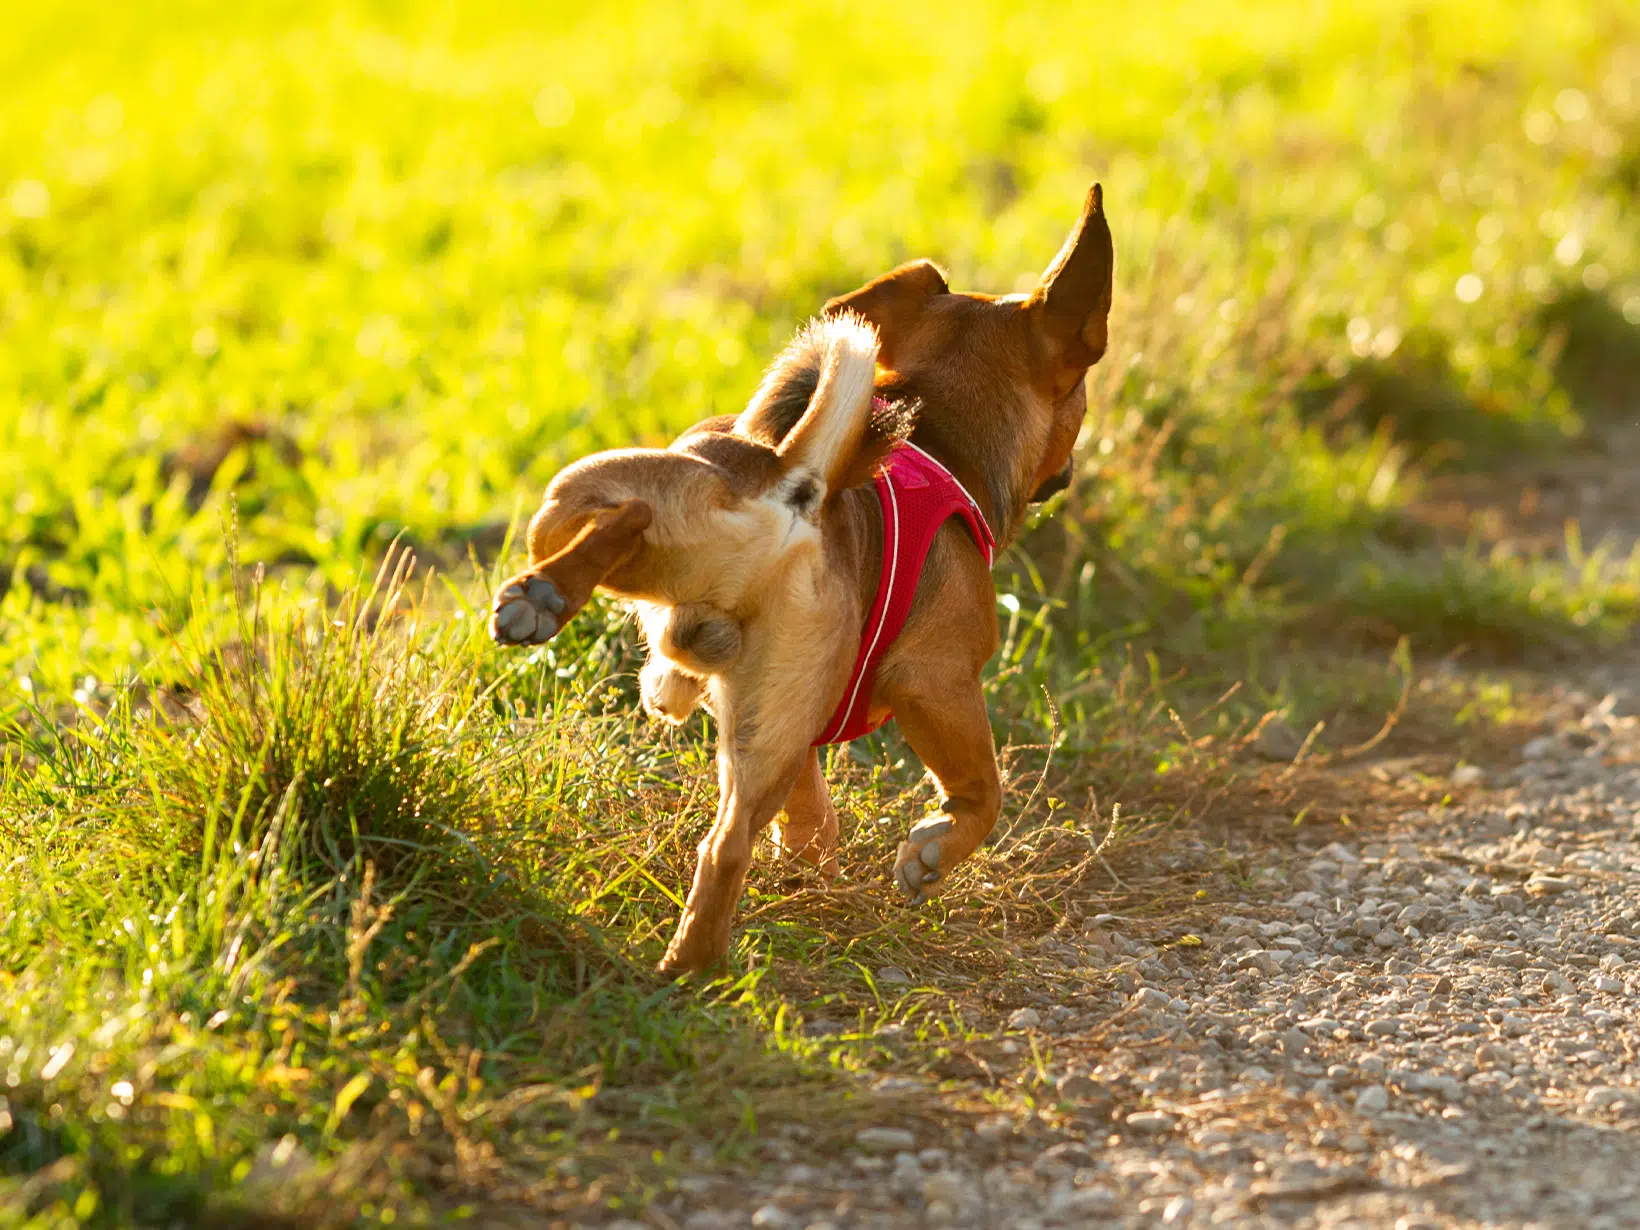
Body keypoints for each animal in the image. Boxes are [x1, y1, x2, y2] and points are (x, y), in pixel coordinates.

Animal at [488, 182, 1115, 977]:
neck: (934, 437)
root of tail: (796, 483)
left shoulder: (797, 724)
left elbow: (813, 814)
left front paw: (809, 854)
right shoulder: (938, 679)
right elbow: (983, 792)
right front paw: (931, 855)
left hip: (598, 515)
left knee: (724, 845)